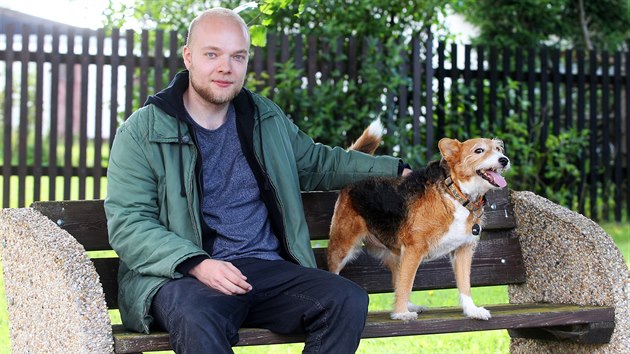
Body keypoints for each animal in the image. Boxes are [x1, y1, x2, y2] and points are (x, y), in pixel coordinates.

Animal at [328, 120, 512, 322]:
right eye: (479, 150)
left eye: (498, 149)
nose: (504, 160)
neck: (454, 193)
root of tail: (354, 180)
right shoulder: (413, 250)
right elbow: (406, 284)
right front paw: (401, 314)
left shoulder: (463, 251)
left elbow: (465, 285)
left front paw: (471, 310)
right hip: (343, 247)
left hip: (395, 255)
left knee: (397, 281)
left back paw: (410, 305)